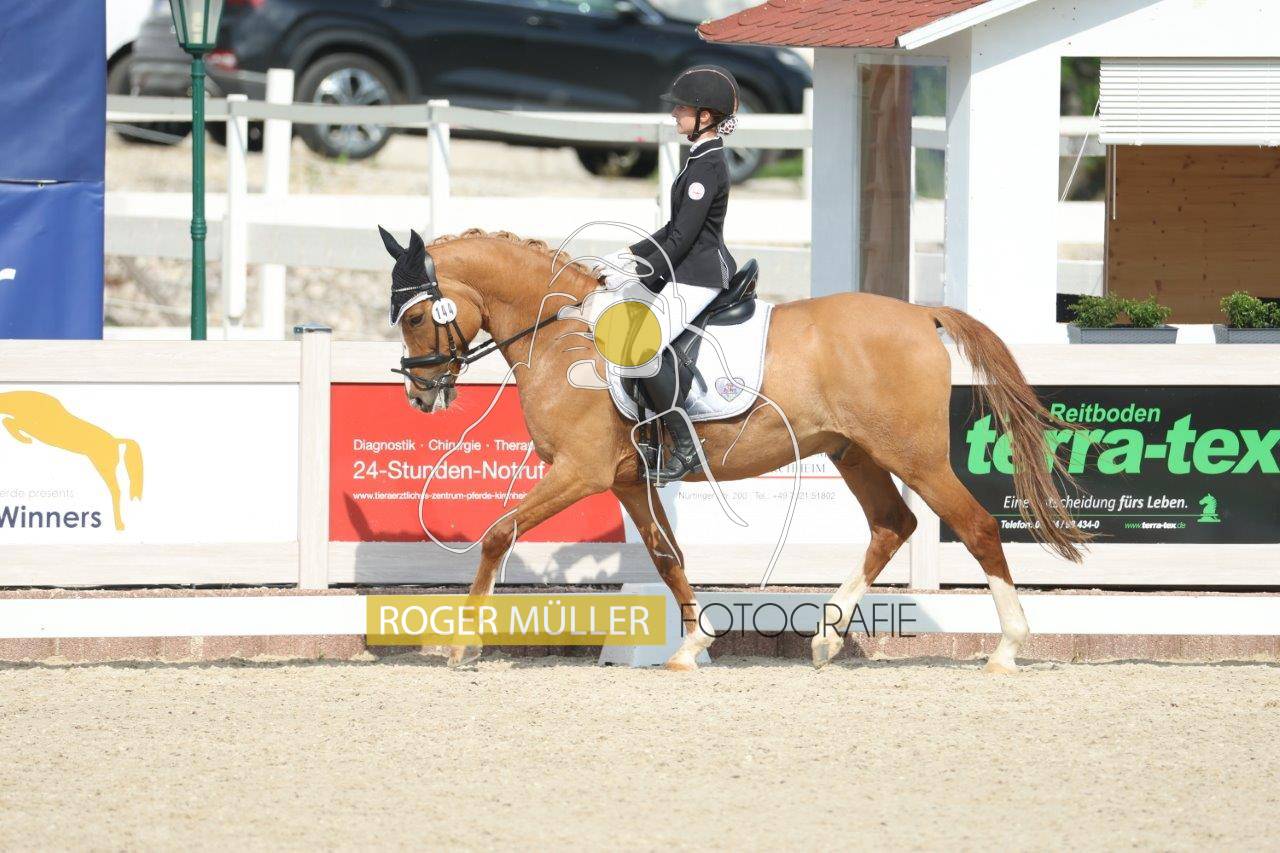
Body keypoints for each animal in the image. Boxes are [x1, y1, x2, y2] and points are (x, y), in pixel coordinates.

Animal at [379, 227, 1088, 672]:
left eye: (414, 317)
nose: (419, 395)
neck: (561, 334)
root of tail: (920, 314)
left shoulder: (580, 472)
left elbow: (498, 533)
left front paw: (463, 645)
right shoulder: (628, 481)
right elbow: (667, 558)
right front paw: (692, 647)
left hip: (915, 457)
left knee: (976, 526)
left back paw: (1007, 649)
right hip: (854, 452)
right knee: (893, 525)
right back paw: (826, 639)